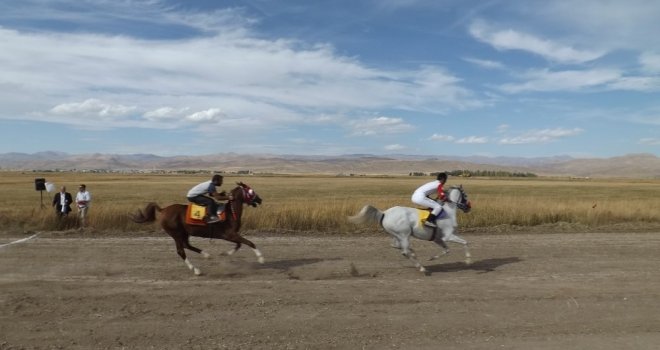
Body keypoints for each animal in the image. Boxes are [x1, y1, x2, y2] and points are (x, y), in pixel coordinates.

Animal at [129, 182, 262, 274]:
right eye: (251, 191)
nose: (260, 199)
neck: (230, 213)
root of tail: (163, 210)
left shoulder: (230, 235)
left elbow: (239, 244)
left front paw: (225, 253)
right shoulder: (229, 234)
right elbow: (249, 243)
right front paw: (261, 258)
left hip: (184, 233)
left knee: (186, 245)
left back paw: (206, 255)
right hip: (176, 233)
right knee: (181, 250)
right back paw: (196, 270)